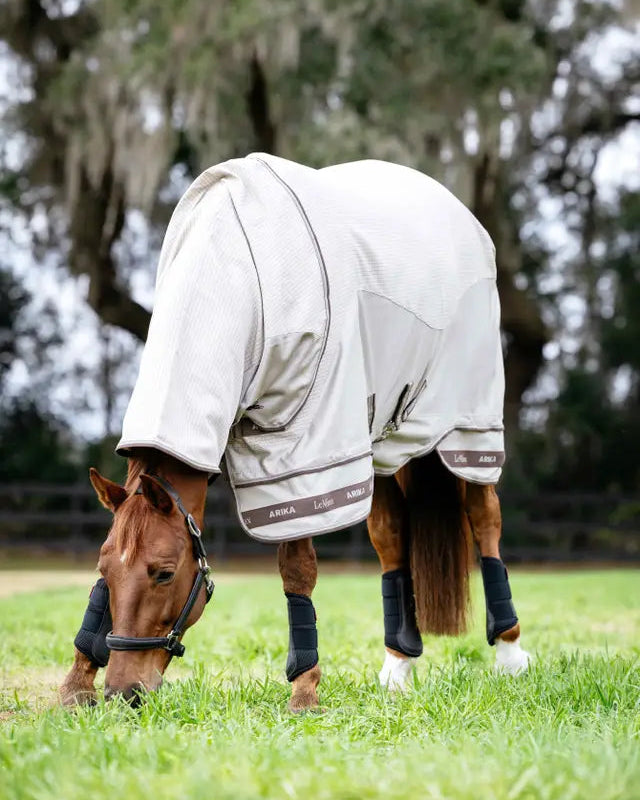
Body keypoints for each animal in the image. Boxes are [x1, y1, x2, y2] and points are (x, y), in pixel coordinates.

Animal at [60, 154, 530, 710]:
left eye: (165, 573)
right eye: (105, 571)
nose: (124, 692)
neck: (235, 274)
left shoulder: (300, 447)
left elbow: (297, 569)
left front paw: (304, 690)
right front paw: (75, 684)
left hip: (467, 430)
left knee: (485, 519)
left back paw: (510, 655)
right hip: (383, 443)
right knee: (391, 536)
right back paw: (397, 667)